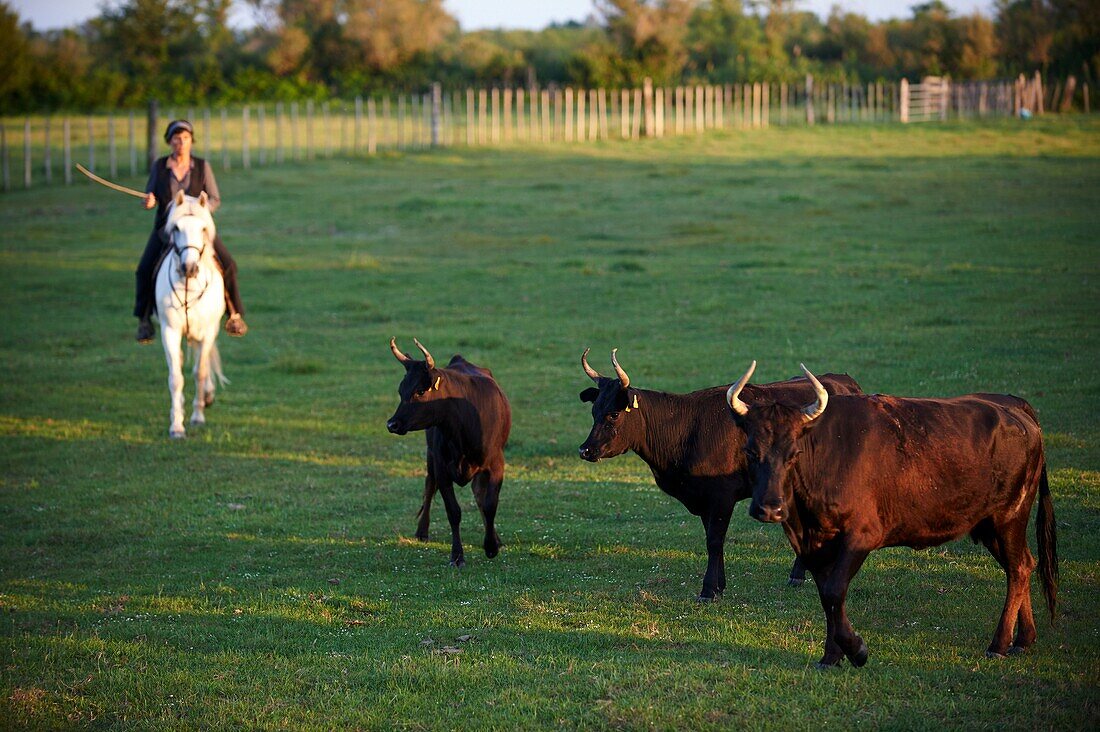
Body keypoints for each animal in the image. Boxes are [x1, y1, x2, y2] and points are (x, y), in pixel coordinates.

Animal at [154, 191, 226, 435]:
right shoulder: (170, 331)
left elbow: (200, 372)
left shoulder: (207, 331)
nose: (190, 268)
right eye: (176, 228)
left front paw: (198, 416)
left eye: (203, 228)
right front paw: (177, 425)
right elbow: (176, 377)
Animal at [387, 336, 510, 563]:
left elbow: (489, 505)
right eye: (401, 391)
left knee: (479, 495)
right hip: (430, 457)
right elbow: (453, 511)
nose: (392, 424)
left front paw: (491, 546)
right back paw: (422, 531)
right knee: (429, 486)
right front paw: (457, 556)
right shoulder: (442, 466)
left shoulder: (497, 464)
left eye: (420, 391)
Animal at [580, 350, 862, 598]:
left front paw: (707, 591)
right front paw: (719, 586)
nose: (585, 449)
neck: (687, 430)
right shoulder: (706, 500)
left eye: (614, 414)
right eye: (594, 412)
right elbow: (713, 539)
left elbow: (714, 541)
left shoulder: (721, 496)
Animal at [730, 361, 1056, 669]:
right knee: (1024, 566)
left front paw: (856, 650)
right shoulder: (817, 544)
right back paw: (1024, 639)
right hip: (990, 527)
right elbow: (827, 597)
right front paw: (831, 656)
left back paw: (999, 644)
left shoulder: (861, 536)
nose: (769, 509)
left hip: (1009, 518)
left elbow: (835, 592)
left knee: (1018, 569)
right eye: (750, 451)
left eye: (794, 454)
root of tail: (1012, 406)